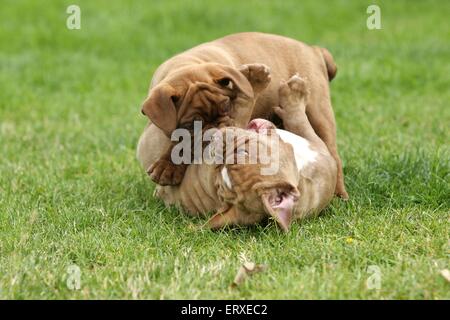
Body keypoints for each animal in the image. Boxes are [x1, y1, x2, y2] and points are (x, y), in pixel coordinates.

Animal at [142, 76, 336, 231]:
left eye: (243, 152)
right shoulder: (314, 141)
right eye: (218, 168)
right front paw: (294, 93)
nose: (214, 141)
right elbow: (298, 120)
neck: (300, 169)